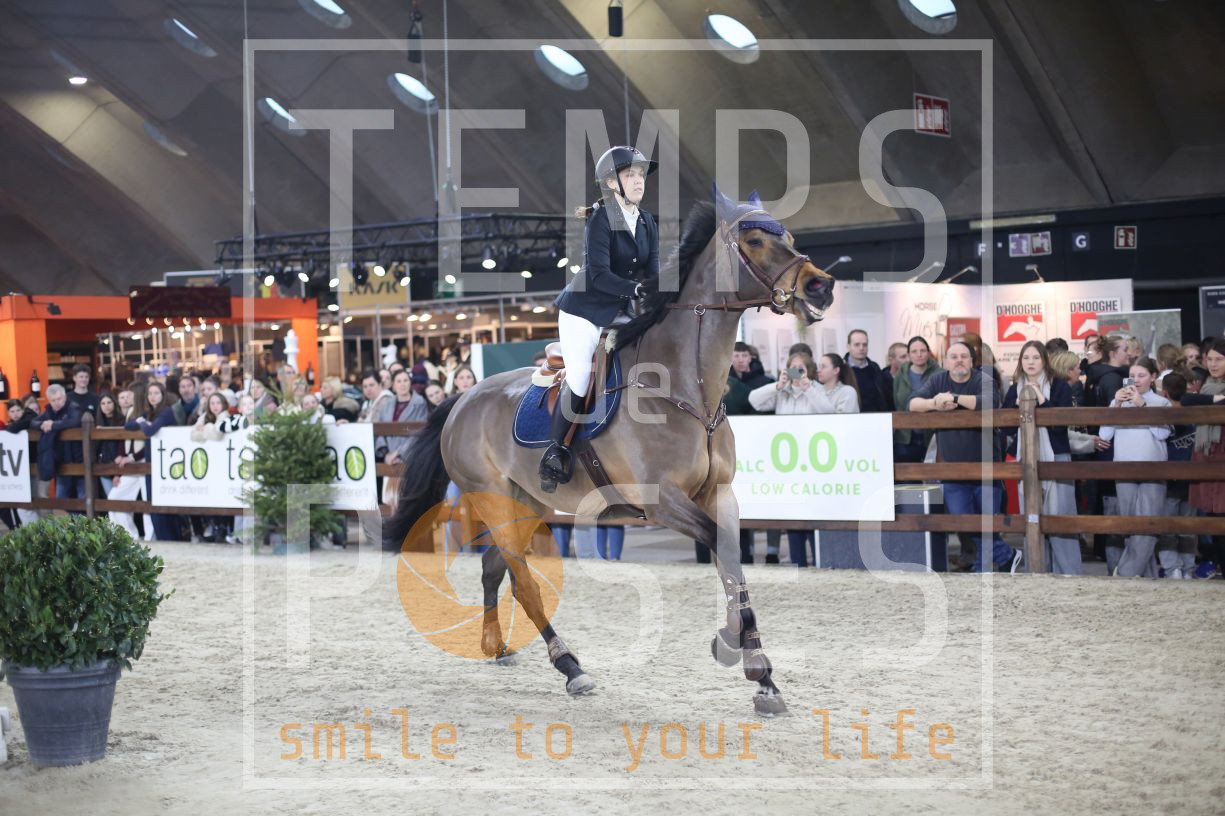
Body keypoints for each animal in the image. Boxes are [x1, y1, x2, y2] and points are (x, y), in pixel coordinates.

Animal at [384, 186, 836, 716]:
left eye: (790, 238)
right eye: (756, 241)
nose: (821, 287)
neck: (688, 387)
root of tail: (462, 399)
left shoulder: (720, 494)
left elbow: (730, 561)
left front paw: (761, 676)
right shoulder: (662, 500)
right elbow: (721, 549)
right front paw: (733, 649)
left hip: (526, 501)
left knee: (495, 568)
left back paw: (496, 646)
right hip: (491, 498)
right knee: (523, 581)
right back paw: (571, 667)